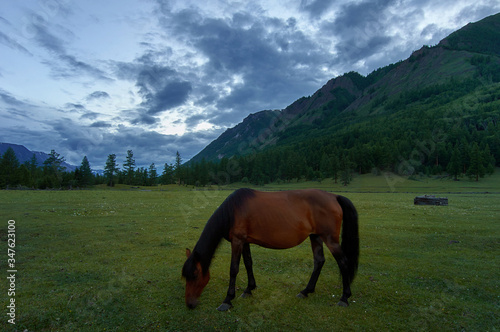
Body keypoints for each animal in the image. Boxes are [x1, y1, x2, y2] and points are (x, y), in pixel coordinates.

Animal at [182, 189, 358, 312]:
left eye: (195, 275)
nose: (189, 304)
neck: (232, 211)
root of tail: (334, 196)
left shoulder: (237, 241)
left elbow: (234, 269)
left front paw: (227, 300)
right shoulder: (244, 241)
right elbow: (248, 263)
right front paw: (249, 289)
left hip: (330, 239)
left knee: (343, 262)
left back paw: (344, 298)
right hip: (315, 237)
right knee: (319, 261)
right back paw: (306, 291)